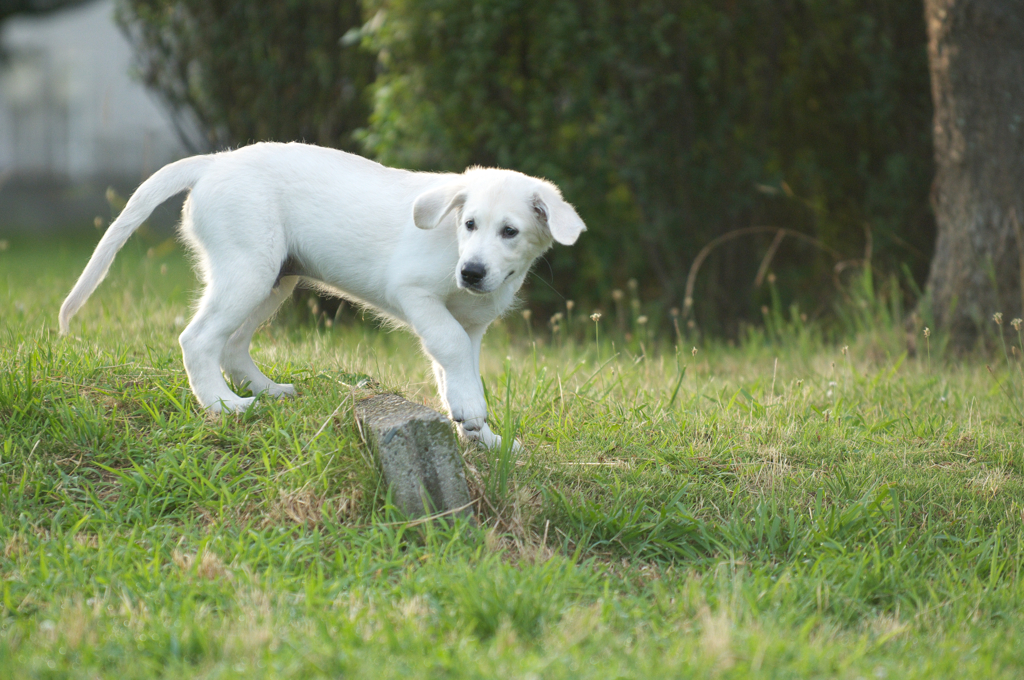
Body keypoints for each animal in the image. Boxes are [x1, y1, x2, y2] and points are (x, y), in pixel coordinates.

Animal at [58, 142, 585, 448]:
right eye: (470, 224)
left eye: (510, 232)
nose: (471, 273)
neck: (452, 241)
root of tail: (217, 160)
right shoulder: (417, 295)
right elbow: (450, 350)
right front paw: (474, 416)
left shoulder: (471, 326)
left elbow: (453, 370)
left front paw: (479, 432)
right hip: (248, 270)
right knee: (198, 339)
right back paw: (224, 406)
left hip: (274, 279)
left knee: (232, 345)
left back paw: (267, 391)